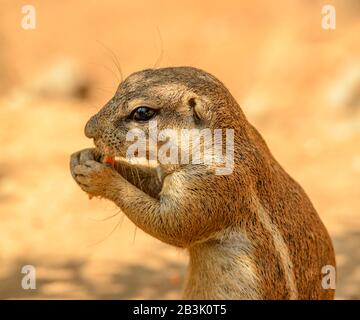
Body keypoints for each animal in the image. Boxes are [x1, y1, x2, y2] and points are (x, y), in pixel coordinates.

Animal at [71, 66, 338, 298]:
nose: (88, 129)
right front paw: (83, 157)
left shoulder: (211, 184)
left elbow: (172, 225)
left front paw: (99, 176)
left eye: (143, 113)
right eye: (124, 83)